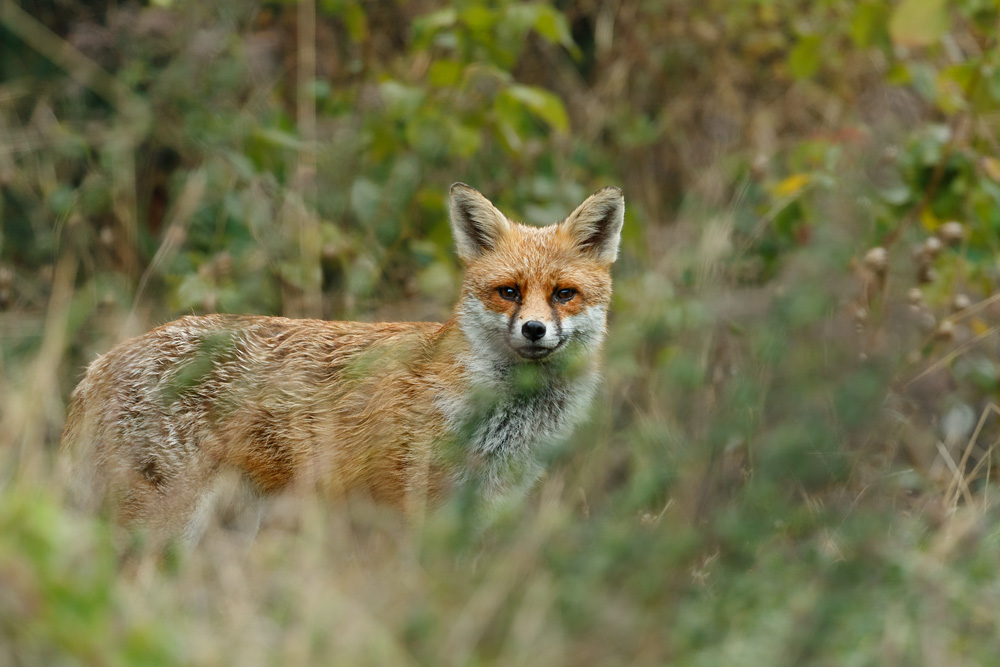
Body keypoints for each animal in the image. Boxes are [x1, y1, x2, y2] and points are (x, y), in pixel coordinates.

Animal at [61, 183, 624, 544]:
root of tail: (99, 363)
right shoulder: (414, 503)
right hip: (168, 523)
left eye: (563, 294)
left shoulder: (483, 508)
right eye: (508, 292)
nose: (534, 331)